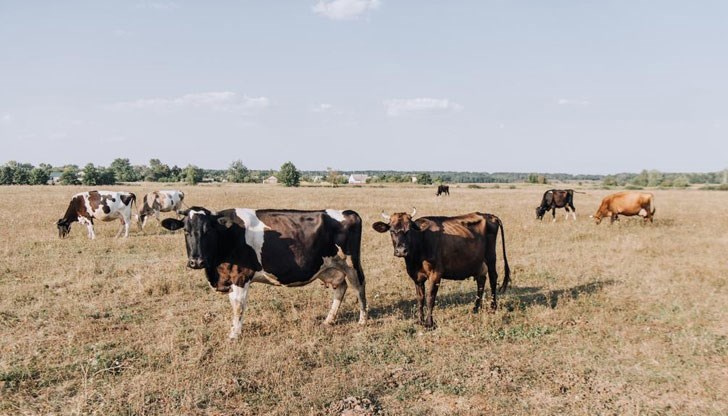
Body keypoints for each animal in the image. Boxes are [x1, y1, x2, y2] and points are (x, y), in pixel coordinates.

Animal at [159, 206, 364, 340]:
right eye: (186, 231)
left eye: (208, 230)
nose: (197, 261)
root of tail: (349, 212)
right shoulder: (230, 279)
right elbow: (234, 305)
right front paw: (233, 330)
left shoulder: (241, 277)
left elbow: (238, 307)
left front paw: (234, 335)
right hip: (329, 268)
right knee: (341, 288)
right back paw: (329, 320)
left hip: (351, 262)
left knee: (359, 285)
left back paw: (363, 320)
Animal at [372, 208, 510, 328]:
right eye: (391, 230)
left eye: (409, 230)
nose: (401, 250)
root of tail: (489, 215)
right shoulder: (416, 276)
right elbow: (420, 299)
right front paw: (420, 320)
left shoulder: (436, 274)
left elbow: (430, 298)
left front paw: (429, 323)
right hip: (477, 261)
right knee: (481, 280)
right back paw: (476, 308)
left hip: (491, 256)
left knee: (493, 278)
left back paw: (493, 307)